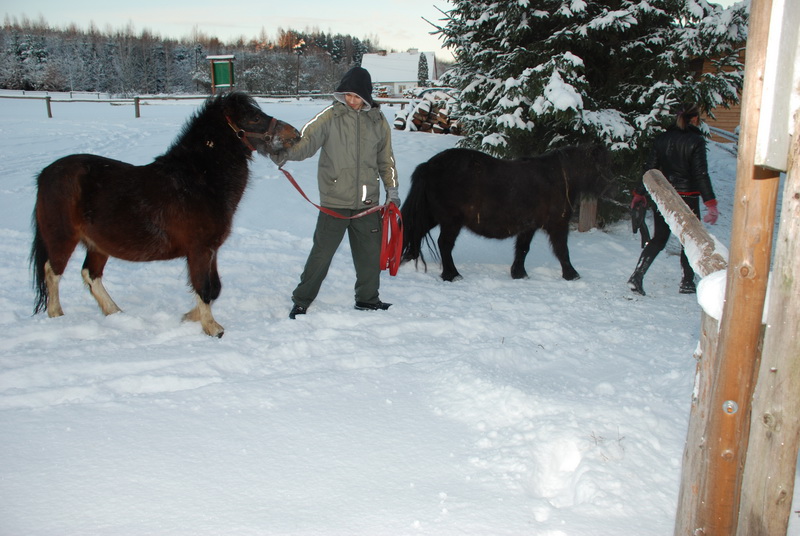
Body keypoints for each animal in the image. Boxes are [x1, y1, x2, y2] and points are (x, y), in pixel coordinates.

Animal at [29, 91, 300, 336]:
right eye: (254, 117)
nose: (294, 134)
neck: (198, 180)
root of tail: (45, 174)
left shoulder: (211, 250)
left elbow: (215, 288)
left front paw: (190, 317)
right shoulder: (200, 250)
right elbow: (205, 287)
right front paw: (212, 328)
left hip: (97, 244)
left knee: (90, 274)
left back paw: (115, 313)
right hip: (62, 238)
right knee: (52, 272)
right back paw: (57, 315)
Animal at [404, 144, 608, 282]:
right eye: (603, 166)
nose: (608, 189)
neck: (559, 177)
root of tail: (429, 165)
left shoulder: (529, 226)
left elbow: (523, 249)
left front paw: (519, 273)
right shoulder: (558, 225)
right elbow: (562, 250)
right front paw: (572, 274)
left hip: (432, 215)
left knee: (415, 232)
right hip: (451, 221)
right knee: (444, 244)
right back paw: (452, 275)